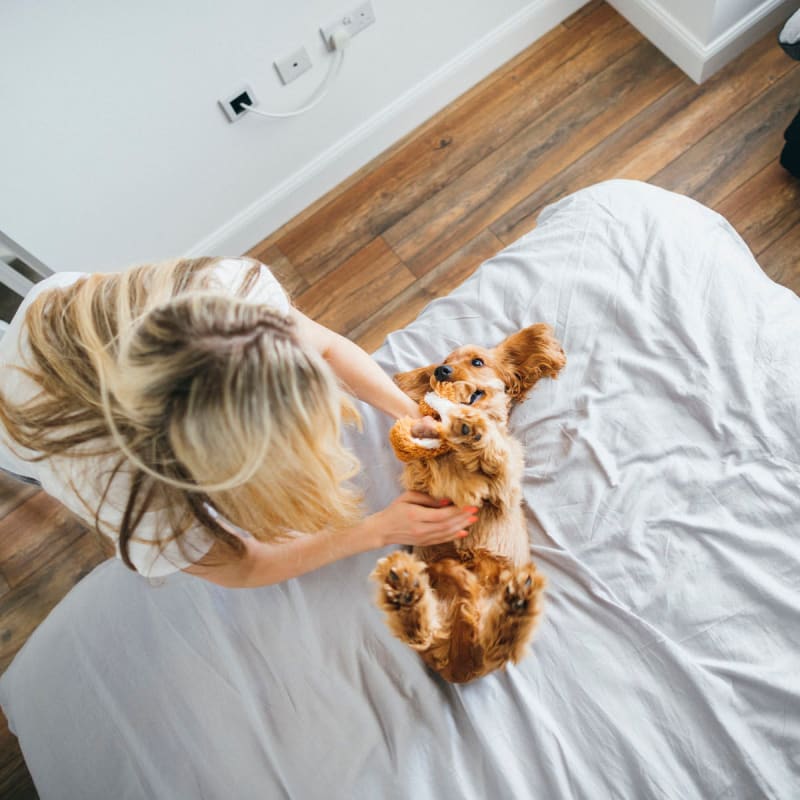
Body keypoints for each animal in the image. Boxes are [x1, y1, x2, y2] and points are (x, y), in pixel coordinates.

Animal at [372, 324, 564, 680]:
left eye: (477, 362)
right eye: (443, 362)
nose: (441, 371)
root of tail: (461, 665)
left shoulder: (505, 485)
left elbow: (493, 457)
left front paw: (472, 432)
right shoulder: (421, 480)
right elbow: (425, 467)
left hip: (487, 632)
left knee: (499, 644)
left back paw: (517, 604)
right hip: (438, 620)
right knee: (423, 631)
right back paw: (405, 592)